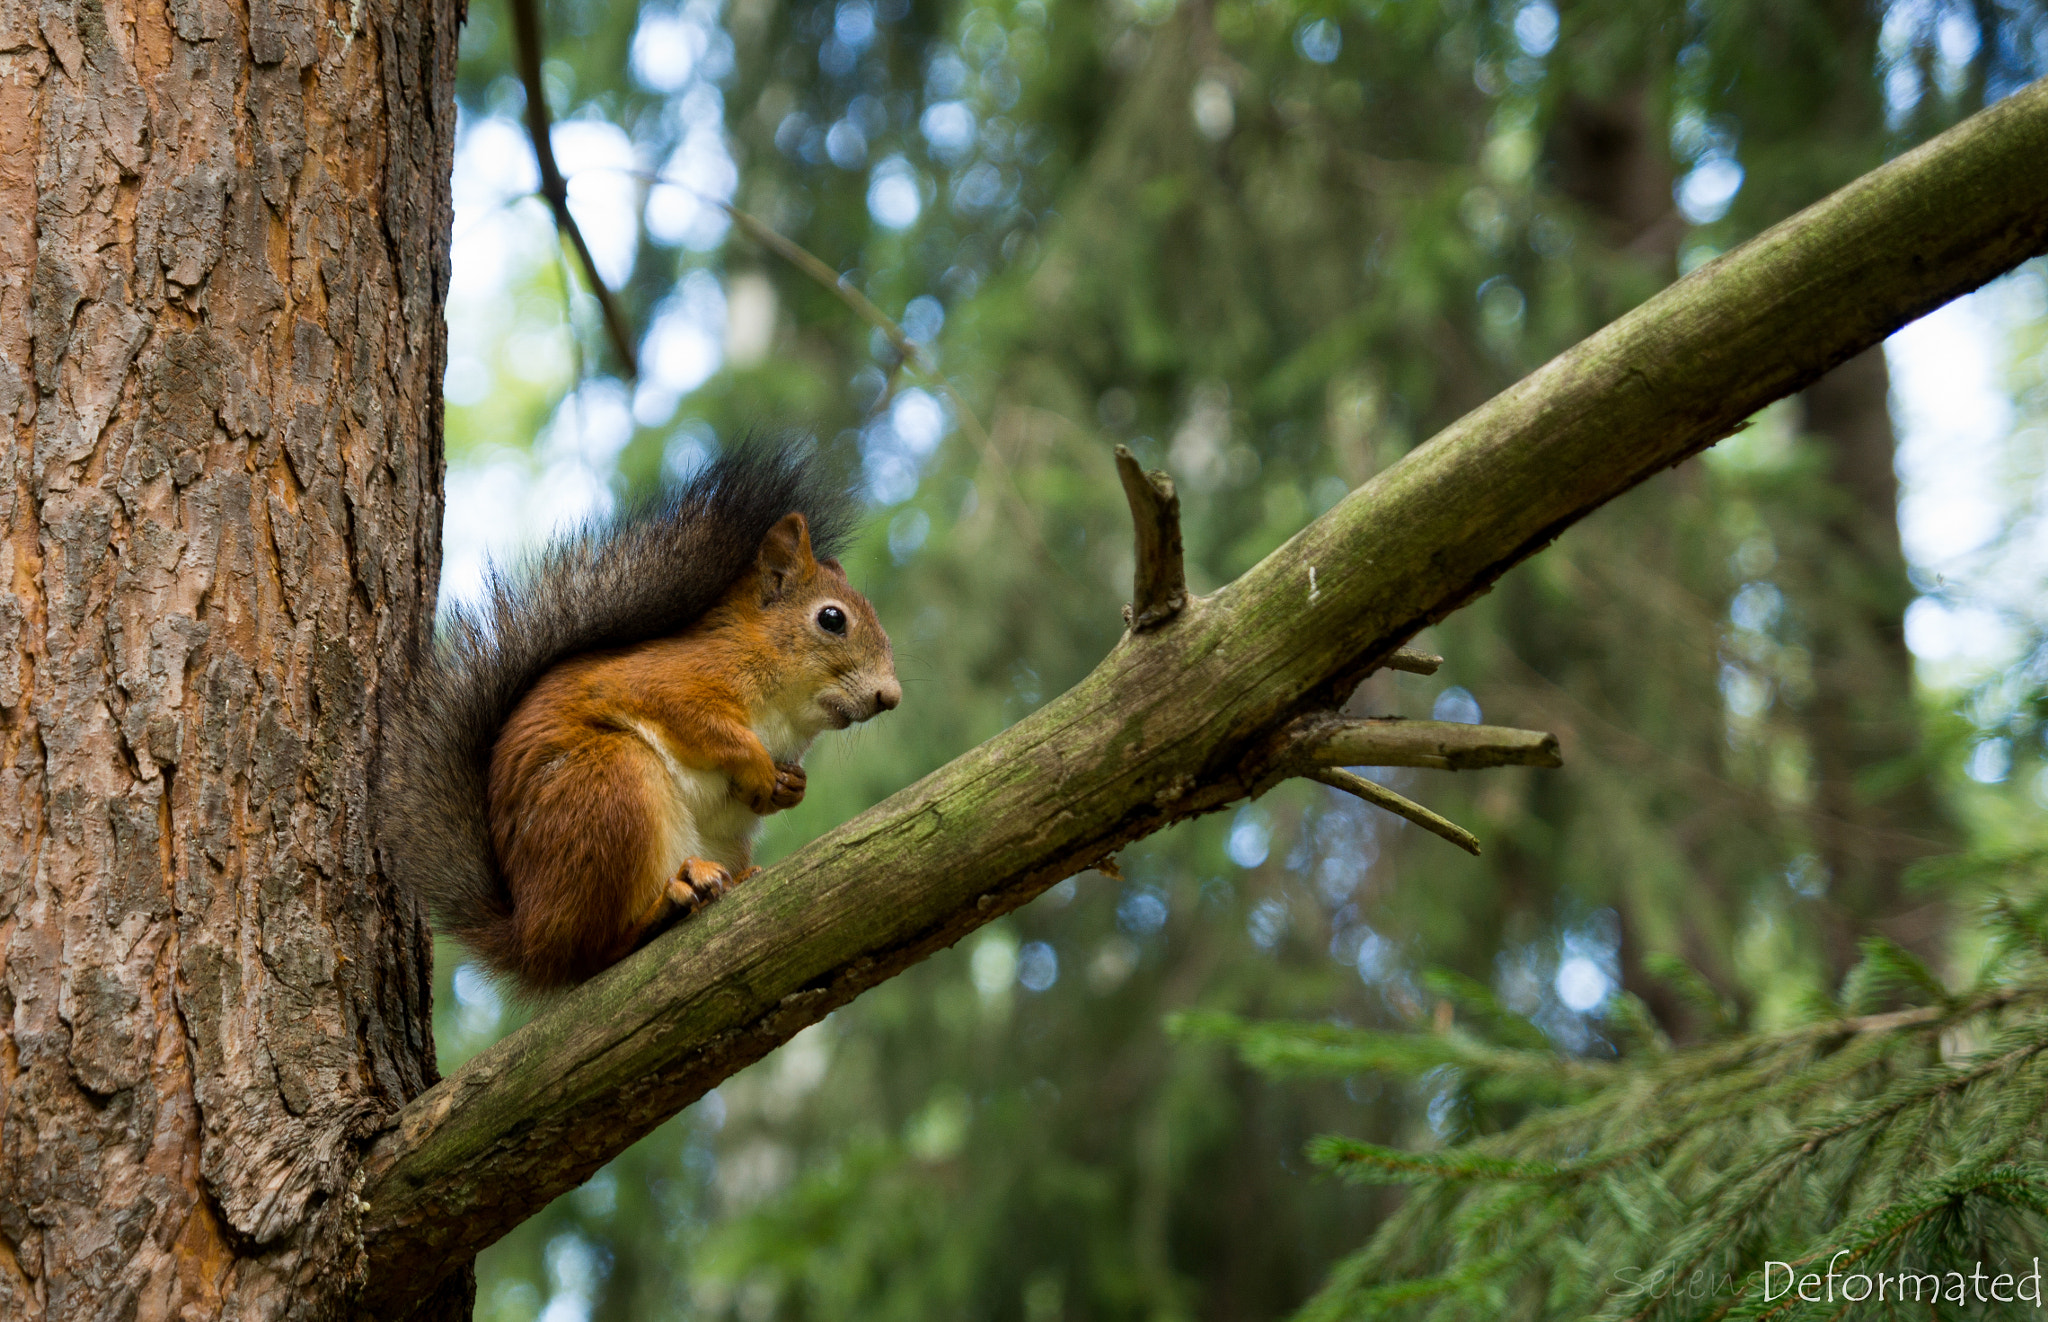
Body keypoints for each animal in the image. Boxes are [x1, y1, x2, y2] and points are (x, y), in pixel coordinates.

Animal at [385, 448, 897, 994]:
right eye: (831, 619)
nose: (891, 695)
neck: (786, 711)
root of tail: (530, 936)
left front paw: (790, 786)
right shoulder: (666, 683)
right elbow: (709, 729)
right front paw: (758, 768)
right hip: (611, 788)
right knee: (596, 951)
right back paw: (665, 907)